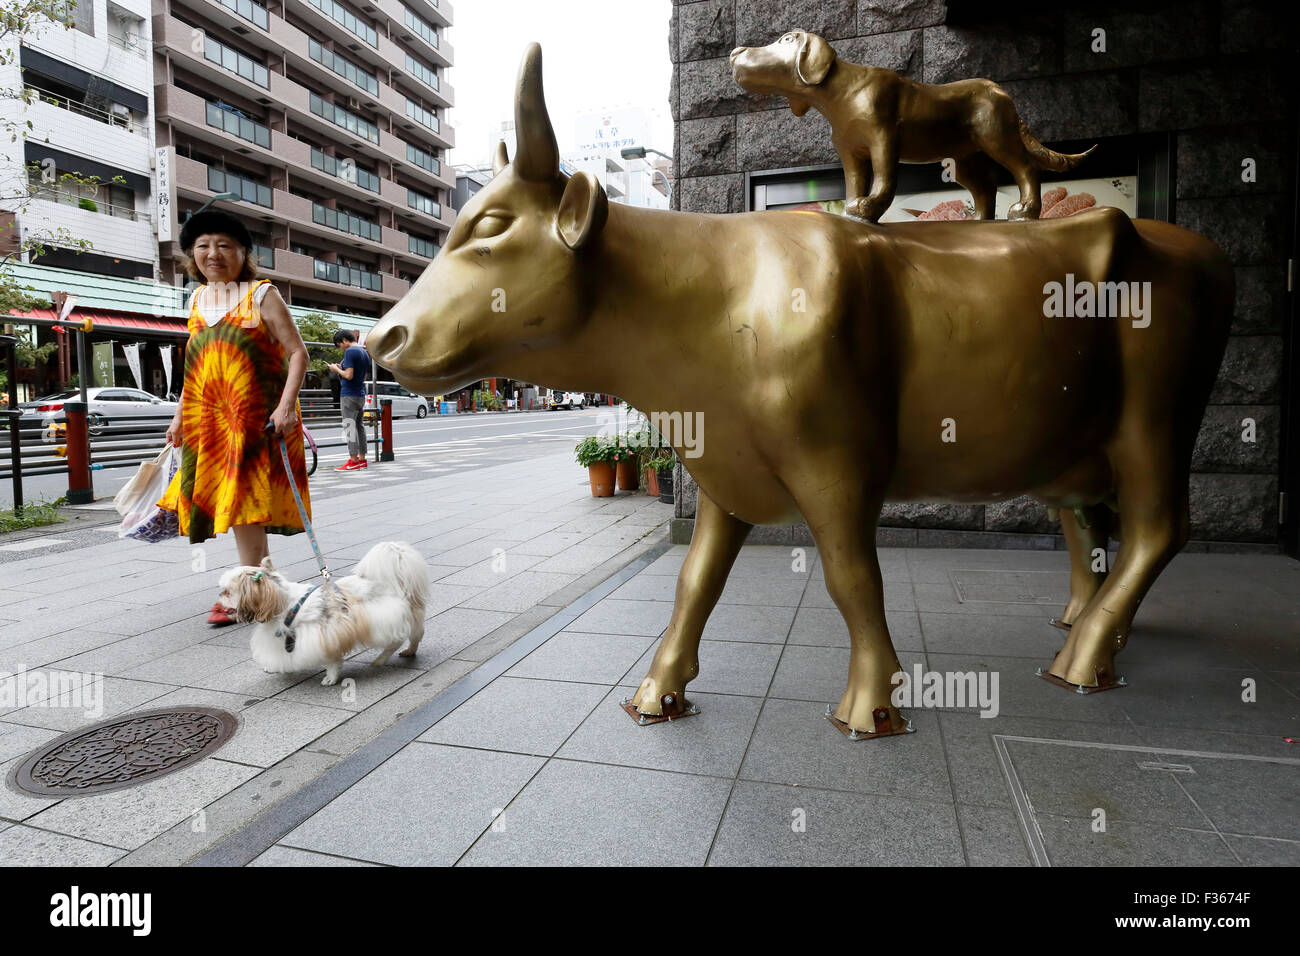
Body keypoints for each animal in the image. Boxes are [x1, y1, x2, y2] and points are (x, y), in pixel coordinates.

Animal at [218, 541, 426, 686]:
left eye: (227, 591)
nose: (219, 598)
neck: (284, 602)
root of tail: (394, 582)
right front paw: (272, 667)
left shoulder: (325, 634)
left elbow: (332, 660)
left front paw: (330, 678)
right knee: (416, 635)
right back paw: (409, 651)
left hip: (383, 620)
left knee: (398, 639)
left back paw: (381, 659)